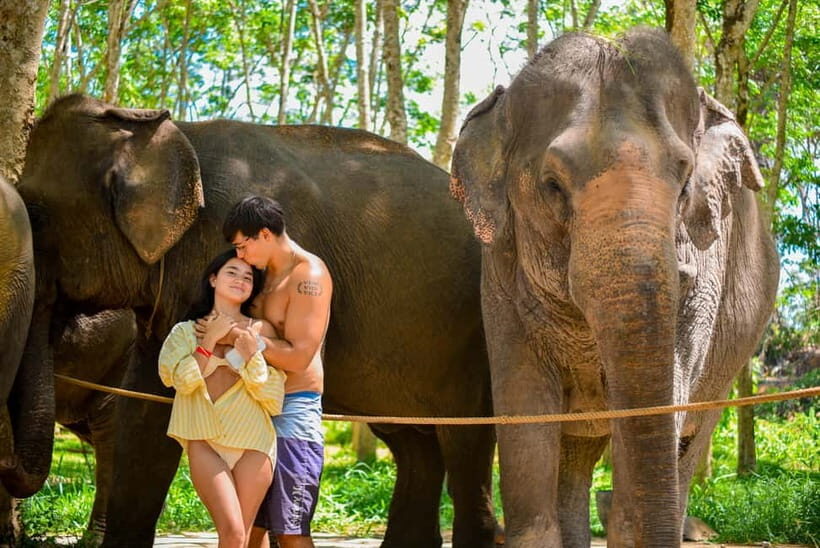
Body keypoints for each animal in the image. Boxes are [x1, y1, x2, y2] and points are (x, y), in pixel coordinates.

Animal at [14, 93, 497, 548]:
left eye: (35, 215)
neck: (178, 135)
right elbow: (146, 409)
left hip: (474, 335)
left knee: (466, 440)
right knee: (412, 441)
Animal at [450, 28, 779, 547]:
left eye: (685, 179)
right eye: (552, 185)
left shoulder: (705, 281)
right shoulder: (498, 275)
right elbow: (525, 411)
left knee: (689, 439)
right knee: (577, 456)